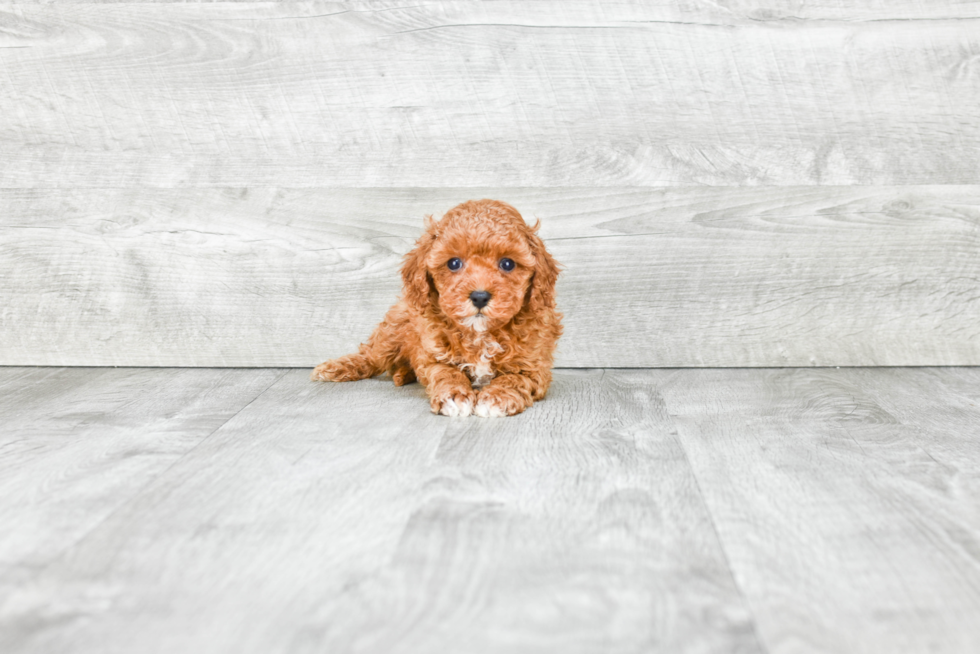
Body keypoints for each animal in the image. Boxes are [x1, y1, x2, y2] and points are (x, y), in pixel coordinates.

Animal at [310, 197, 564, 418]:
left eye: (508, 264)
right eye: (454, 263)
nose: (479, 296)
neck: (480, 333)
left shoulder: (533, 367)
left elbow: (514, 379)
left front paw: (496, 398)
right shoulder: (434, 357)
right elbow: (447, 373)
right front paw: (454, 396)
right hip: (393, 328)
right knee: (371, 356)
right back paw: (334, 368)